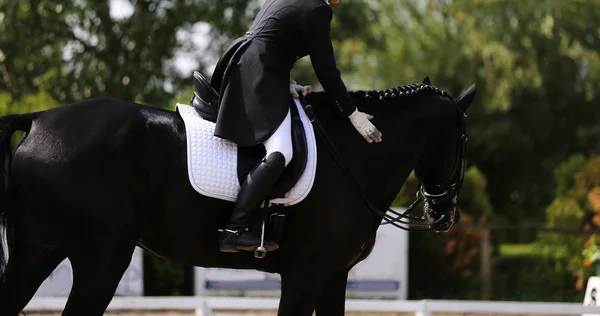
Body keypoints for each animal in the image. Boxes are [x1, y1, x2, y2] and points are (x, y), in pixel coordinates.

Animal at [0, 75, 476, 314]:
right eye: (463, 142)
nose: (444, 215)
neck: (354, 153)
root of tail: (38, 120)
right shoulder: (305, 275)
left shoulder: (333, 276)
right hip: (102, 257)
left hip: (38, 251)